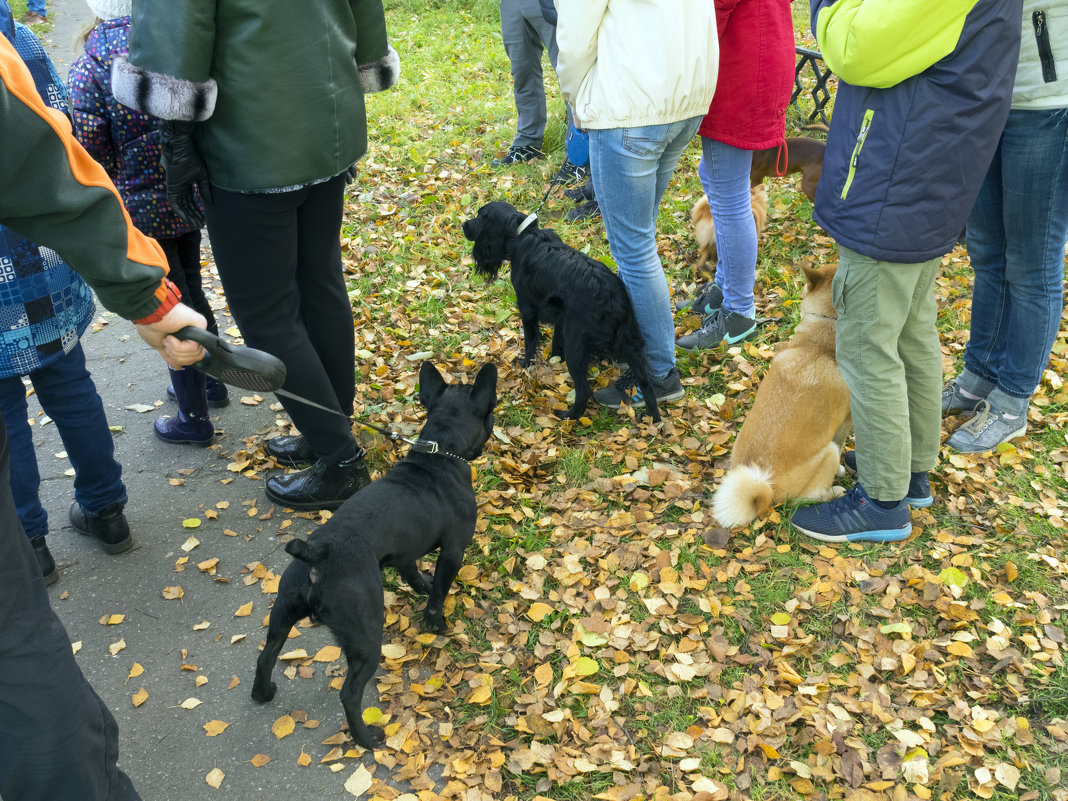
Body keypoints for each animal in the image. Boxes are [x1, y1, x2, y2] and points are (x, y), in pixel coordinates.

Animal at [252, 360, 497, 751]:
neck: (438, 453)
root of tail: (318, 554)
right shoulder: (454, 550)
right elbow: (439, 593)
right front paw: (436, 624)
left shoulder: (405, 551)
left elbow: (413, 573)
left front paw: (421, 586)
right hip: (366, 634)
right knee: (350, 693)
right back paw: (366, 738)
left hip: (283, 611)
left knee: (265, 656)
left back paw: (262, 693)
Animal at [461, 200, 657, 422]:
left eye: (480, 217)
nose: (464, 225)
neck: (521, 235)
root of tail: (612, 302)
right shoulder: (562, 316)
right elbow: (556, 339)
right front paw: (555, 359)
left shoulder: (527, 308)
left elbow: (530, 341)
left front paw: (525, 364)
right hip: (631, 345)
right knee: (647, 384)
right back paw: (653, 420)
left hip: (576, 345)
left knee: (584, 391)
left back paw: (568, 416)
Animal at [713, 261, 854, 527]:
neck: (821, 336)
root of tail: (768, 489)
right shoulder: (847, 421)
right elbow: (842, 445)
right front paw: (841, 471)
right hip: (827, 453)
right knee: (811, 497)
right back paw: (834, 491)